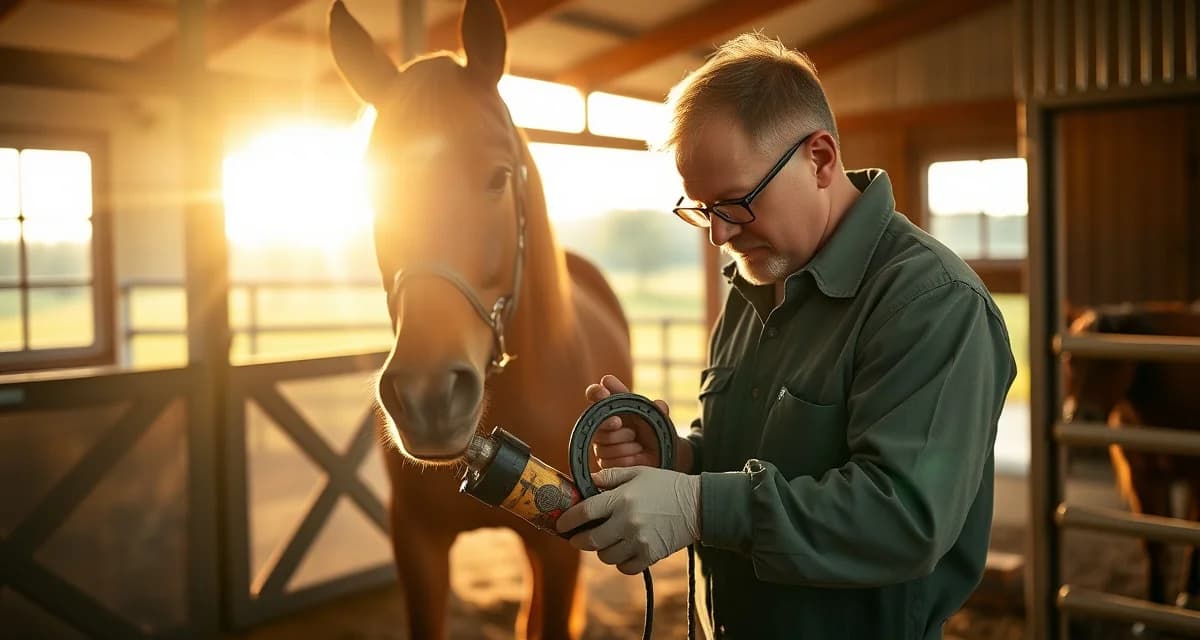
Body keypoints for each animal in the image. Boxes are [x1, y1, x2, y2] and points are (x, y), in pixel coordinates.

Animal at [1062, 302, 1200, 609]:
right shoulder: (1142, 477)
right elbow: (1154, 542)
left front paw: (1186, 596)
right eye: (1070, 359)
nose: (1081, 417)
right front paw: (1155, 604)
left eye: (1113, 362)